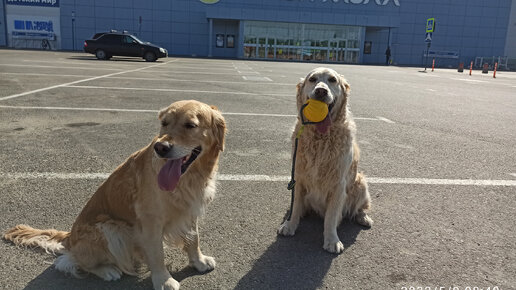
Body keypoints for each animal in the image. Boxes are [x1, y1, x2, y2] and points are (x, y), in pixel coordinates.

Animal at [3, 100, 226, 290]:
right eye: (164, 123)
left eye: (190, 125)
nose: (160, 147)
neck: (189, 178)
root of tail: (70, 237)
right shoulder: (150, 221)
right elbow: (157, 254)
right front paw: (163, 280)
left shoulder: (190, 210)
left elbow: (194, 239)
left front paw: (198, 261)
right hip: (110, 228)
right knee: (71, 261)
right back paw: (107, 270)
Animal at [280, 67, 372, 254]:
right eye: (313, 79)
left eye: (332, 80)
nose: (321, 91)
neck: (320, 137)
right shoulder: (298, 177)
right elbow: (295, 206)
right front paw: (290, 224)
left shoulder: (338, 184)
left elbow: (331, 217)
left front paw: (331, 240)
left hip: (361, 182)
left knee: (359, 207)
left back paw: (363, 217)